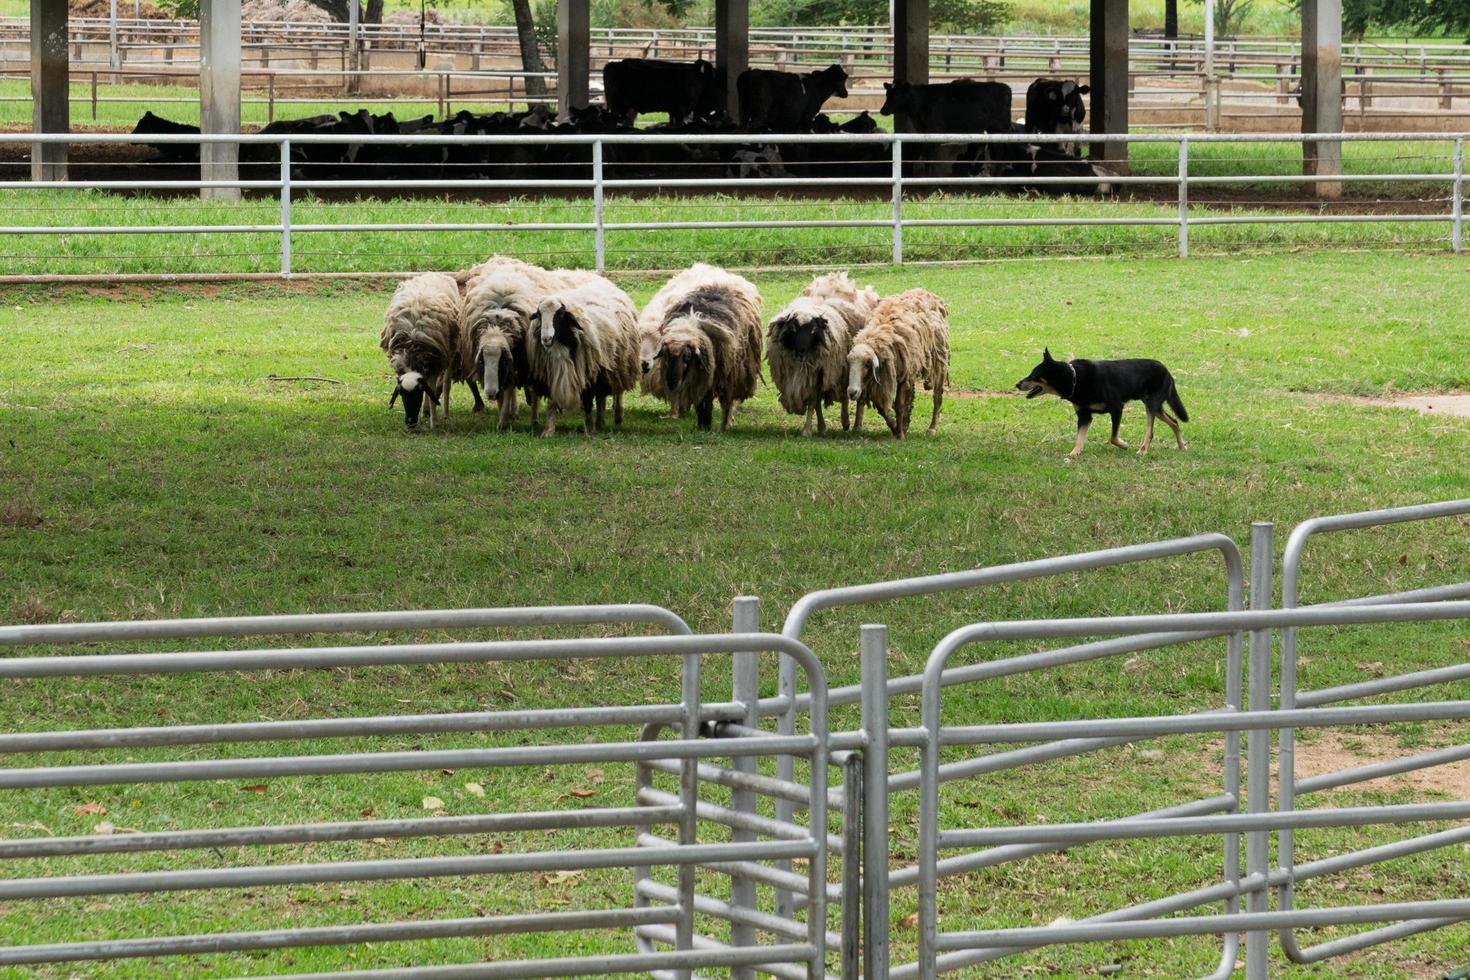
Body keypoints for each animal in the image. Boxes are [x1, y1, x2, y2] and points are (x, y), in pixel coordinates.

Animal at [529, 271, 643, 431]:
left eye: (560, 315)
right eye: (539, 314)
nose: (545, 339)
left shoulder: (590, 373)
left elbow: (589, 402)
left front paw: (589, 429)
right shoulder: (552, 372)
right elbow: (552, 403)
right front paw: (548, 430)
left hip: (618, 362)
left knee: (615, 391)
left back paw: (616, 416)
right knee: (601, 398)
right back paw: (600, 421)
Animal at [655, 264, 770, 429]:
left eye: (687, 357)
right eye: (666, 356)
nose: (671, 382)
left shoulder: (717, 372)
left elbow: (715, 401)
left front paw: (712, 426)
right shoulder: (699, 376)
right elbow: (701, 401)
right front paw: (701, 425)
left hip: (737, 368)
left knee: (730, 400)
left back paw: (727, 421)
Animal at [764, 270, 876, 434]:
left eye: (813, 329)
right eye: (793, 328)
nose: (802, 349)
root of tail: (837, 278)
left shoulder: (818, 374)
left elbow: (812, 402)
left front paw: (807, 430)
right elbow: (816, 404)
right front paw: (820, 427)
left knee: (855, 397)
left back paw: (854, 425)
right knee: (845, 394)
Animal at [846, 289, 946, 437]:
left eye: (867, 364)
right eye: (850, 363)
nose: (852, 392)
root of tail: (924, 291)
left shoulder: (903, 375)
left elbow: (899, 405)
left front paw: (900, 434)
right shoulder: (874, 379)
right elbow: (881, 407)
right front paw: (895, 427)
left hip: (938, 360)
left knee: (937, 396)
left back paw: (932, 428)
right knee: (911, 394)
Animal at [1017, 348, 1187, 461]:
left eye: (1034, 375)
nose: (1017, 384)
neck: (1074, 379)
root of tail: (1167, 371)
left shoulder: (1117, 408)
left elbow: (1113, 437)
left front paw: (1124, 445)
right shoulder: (1084, 416)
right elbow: (1080, 438)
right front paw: (1074, 453)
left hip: (1151, 405)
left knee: (1150, 431)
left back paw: (1143, 450)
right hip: (1155, 406)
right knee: (1174, 421)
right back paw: (1181, 446)